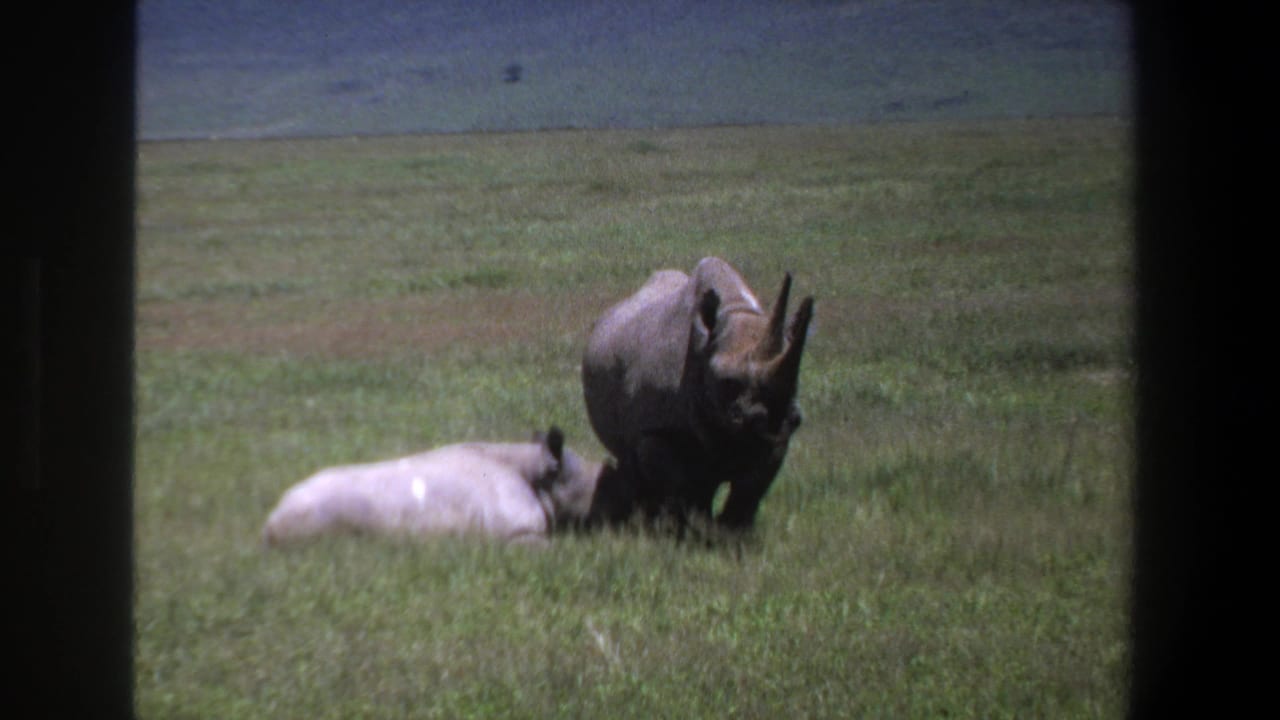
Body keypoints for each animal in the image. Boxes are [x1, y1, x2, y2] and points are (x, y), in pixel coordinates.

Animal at [582, 257, 814, 530]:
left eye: (796, 382)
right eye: (727, 382)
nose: (774, 419)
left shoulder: (775, 439)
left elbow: (751, 488)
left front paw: (733, 533)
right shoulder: (655, 430)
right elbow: (681, 486)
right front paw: (689, 531)